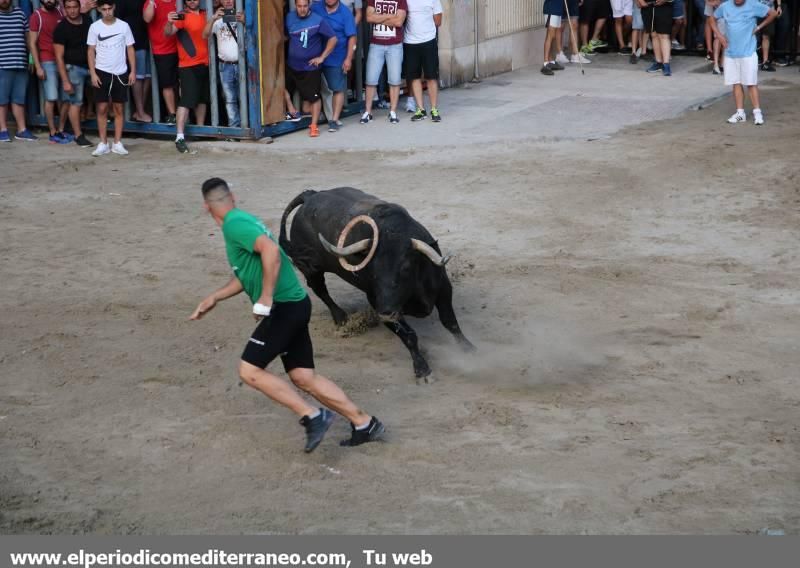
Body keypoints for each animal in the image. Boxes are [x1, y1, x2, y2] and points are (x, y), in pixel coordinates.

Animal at [278, 187, 476, 382]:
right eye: (372, 269)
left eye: (406, 267)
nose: (386, 312)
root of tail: (309, 195)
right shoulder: (377, 302)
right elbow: (409, 336)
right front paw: (422, 370)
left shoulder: (443, 287)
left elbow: (450, 322)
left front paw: (469, 349)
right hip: (310, 268)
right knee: (321, 290)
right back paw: (341, 318)